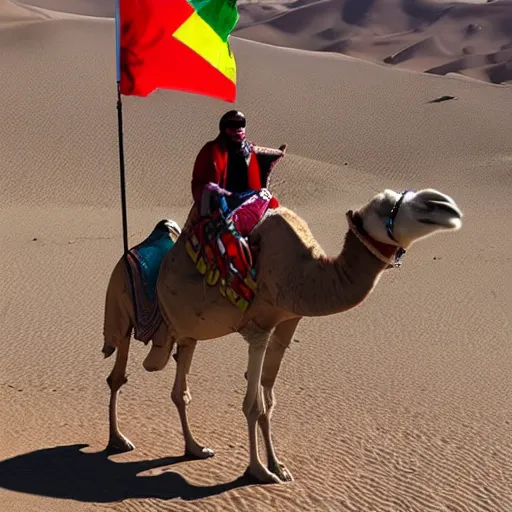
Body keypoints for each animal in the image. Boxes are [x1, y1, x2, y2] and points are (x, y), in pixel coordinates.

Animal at [102, 187, 462, 484]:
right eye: (386, 207)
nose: (445, 206)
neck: (303, 271)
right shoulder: (257, 329)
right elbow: (252, 405)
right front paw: (259, 471)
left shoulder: (287, 323)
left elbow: (269, 402)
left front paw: (279, 466)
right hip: (119, 306)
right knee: (117, 374)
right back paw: (118, 440)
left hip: (185, 334)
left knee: (180, 389)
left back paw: (195, 447)